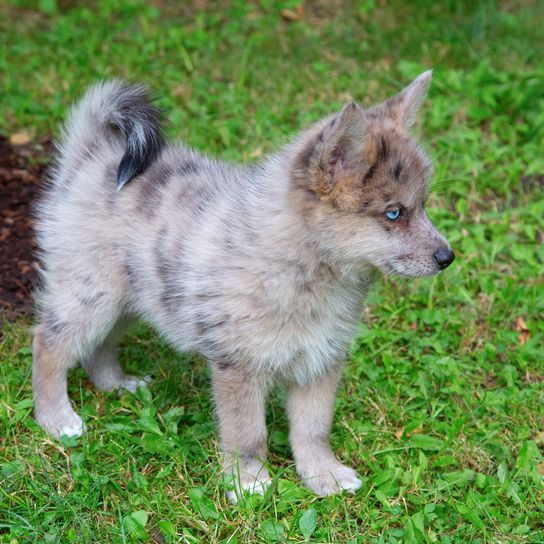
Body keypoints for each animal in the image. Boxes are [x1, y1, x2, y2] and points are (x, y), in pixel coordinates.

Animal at [31, 72, 452, 502]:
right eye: (394, 213)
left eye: (422, 205)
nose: (447, 257)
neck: (304, 270)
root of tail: (93, 154)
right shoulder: (239, 366)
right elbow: (248, 434)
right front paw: (248, 482)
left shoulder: (320, 361)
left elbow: (313, 429)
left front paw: (323, 475)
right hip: (92, 296)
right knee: (48, 345)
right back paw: (56, 418)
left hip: (130, 302)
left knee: (97, 346)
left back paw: (117, 384)